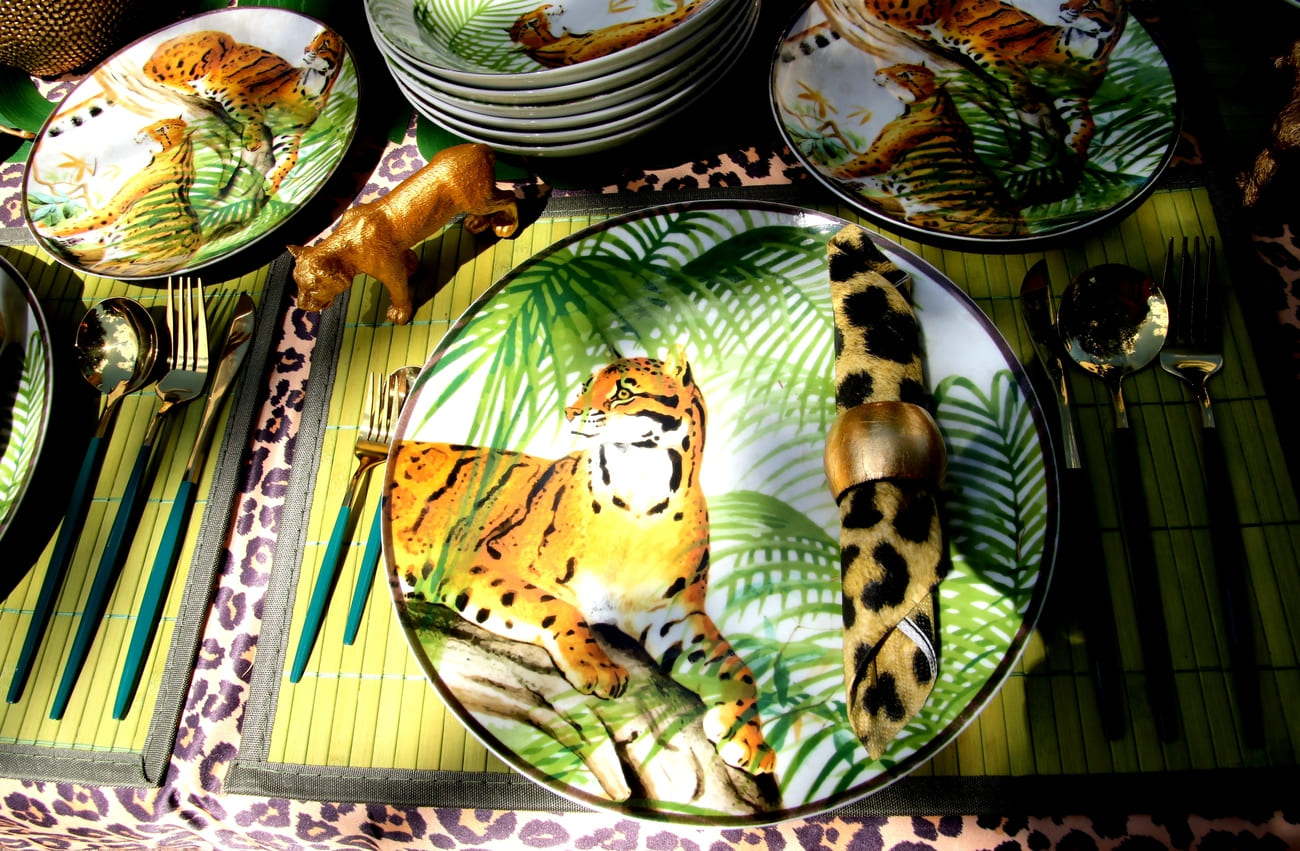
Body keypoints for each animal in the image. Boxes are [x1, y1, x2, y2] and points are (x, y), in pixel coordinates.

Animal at [43, 117, 201, 275]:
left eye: (162, 129)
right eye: (157, 123)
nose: (140, 131)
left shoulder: (114, 208)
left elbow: (85, 223)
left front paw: (49, 231)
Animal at [143, 27, 344, 196]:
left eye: (323, 45)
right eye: (314, 40)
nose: (305, 49)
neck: (316, 84)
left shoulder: (289, 133)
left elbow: (290, 158)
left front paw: (273, 182)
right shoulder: (239, 94)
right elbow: (253, 115)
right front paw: (252, 139)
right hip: (213, 47)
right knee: (152, 72)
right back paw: (191, 87)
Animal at [387, 352, 776, 777]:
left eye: (624, 392)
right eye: (584, 387)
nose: (570, 411)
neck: (642, 498)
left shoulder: (672, 614)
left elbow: (735, 669)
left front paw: (749, 739)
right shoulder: (472, 561)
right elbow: (555, 606)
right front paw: (597, 667)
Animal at [817, 0, 1128, 163]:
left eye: (1089, 3)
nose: (1063, 6)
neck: (1087, 47)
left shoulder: (1072, 94)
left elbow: (1086, 121)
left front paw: (1077, 147)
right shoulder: (988, 46)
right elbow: (1012, 72)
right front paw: (1026, 97)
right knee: (876, 7)